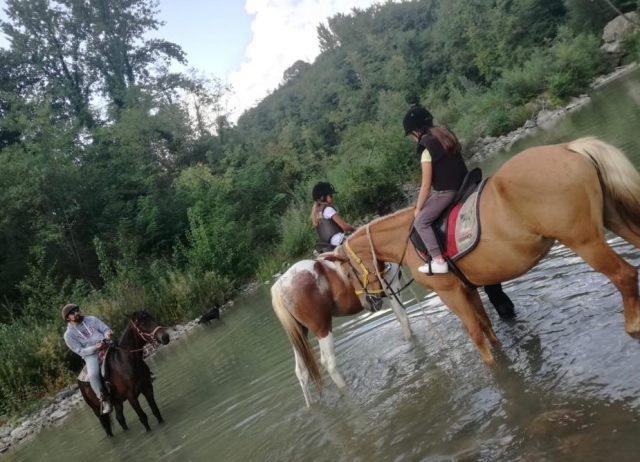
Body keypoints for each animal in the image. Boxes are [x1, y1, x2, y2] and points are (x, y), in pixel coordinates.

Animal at [271, 253, 411, 407]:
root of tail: (280, 285)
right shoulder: (392, 287)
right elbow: (404, 321)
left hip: (300, 334)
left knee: (302, 372)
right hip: (323, 329)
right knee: (329, 363)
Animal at [341, 137, 640, 365]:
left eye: (347, 272)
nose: (368, 303)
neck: (406, 237)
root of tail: (567, 147)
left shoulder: (449, 293)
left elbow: (474, 333)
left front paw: (493, 368)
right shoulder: (468, 288)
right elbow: (486, 326)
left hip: (584, 241)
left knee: (623, 275)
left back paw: (632, 327)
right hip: (613, 218)